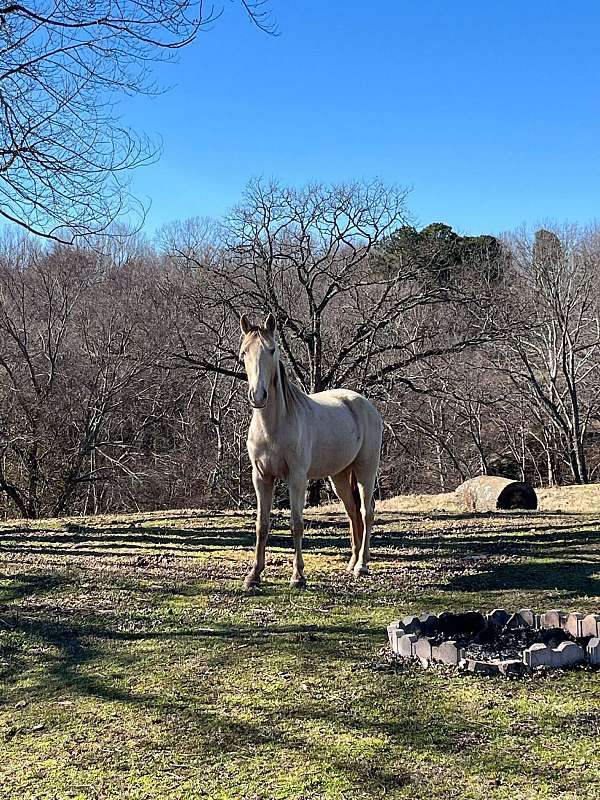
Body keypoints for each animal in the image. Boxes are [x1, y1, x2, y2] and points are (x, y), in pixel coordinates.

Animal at [239, 313, 382, 589]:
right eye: (244, 353)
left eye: (271, 350)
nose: (258, 396)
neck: (274, 426)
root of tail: (365, 404)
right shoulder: (261, 477)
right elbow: (262, 524)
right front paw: (254, 575)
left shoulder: (297, 478)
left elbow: (296, 524)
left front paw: (298, 576)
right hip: (339, 476)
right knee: (352, 513)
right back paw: (352, 562)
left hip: (365, 472)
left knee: (366, 512)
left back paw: (362, 565)